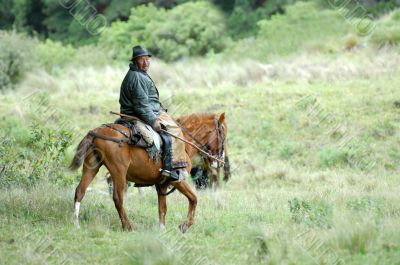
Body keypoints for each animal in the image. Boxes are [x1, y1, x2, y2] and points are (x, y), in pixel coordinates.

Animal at [69, 111, 225, 231]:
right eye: (222, 135)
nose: (221, 161)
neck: (184, 143)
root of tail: (97, 132)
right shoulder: (178, 180)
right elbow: (193, 199)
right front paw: (184, 226)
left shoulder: (162, 184)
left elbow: (162, 208)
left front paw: (162, 230)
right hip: (119, 172)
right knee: (118, 198)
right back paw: (128, 226)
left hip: (92, 167)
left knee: (80, 191)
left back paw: (76, 224)